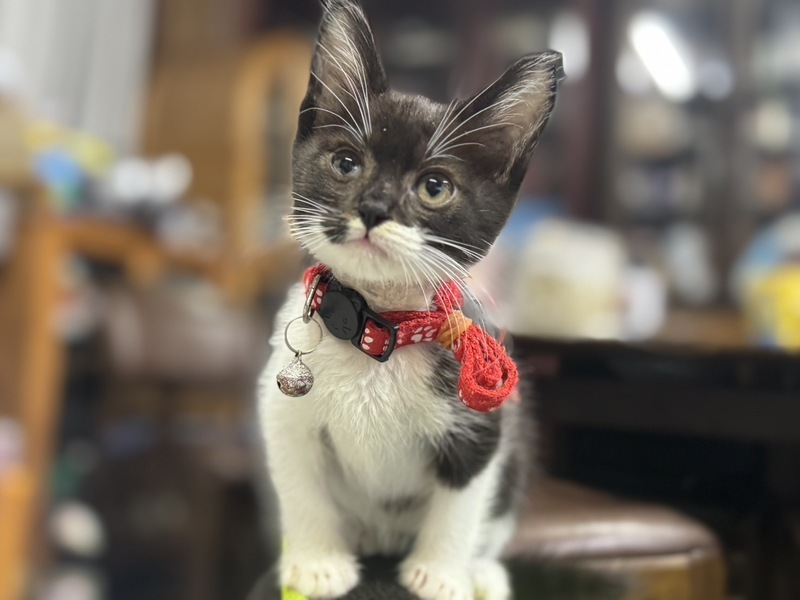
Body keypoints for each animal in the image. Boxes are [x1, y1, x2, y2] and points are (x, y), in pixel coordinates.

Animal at [258, 1, 560, 598]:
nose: (374, 208)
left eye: (435, 187)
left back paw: (482, 571)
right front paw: (317, 561)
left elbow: (461, 504)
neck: (378, 326)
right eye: (346, 163)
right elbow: (301, 486)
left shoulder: (483, 428)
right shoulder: (281, 412)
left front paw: (441, 575)